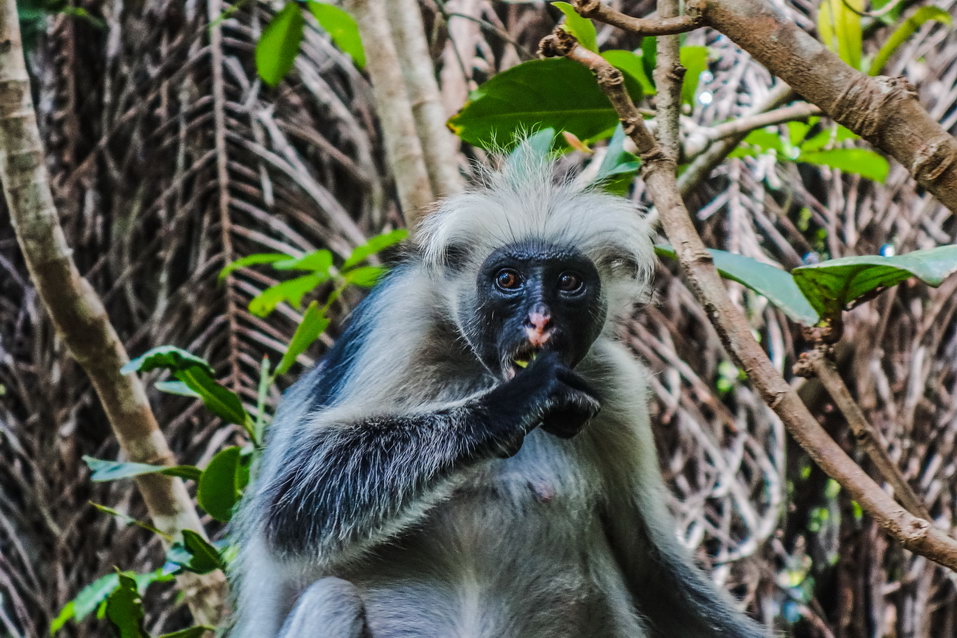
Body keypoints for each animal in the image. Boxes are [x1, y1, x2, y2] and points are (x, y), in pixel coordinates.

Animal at [228, 156, 764, 638]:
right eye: (508, 279)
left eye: (568, 282)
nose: (540, 320)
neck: (477, 369)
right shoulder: (399, 316)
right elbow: (292, 509)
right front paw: (518, 401)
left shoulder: (615, 387)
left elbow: (652, 570)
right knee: (331, 596)